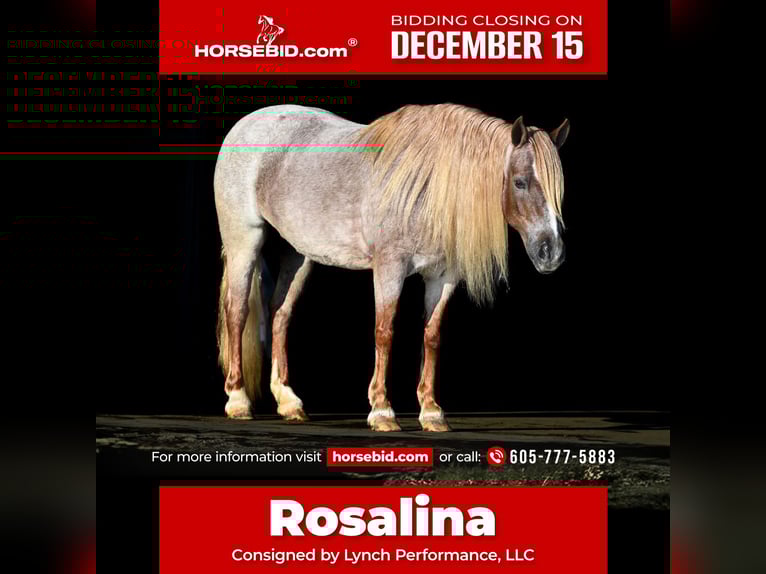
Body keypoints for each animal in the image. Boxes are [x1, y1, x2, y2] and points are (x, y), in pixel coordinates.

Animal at [215, 104, 569, 432]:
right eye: (520, 182)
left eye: (558, 190)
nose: (550, 253)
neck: (429, 186)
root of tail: (245, 124)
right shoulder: (390, 267)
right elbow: (384, 332)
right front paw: (382, 411)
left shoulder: (443, 276)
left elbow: (432, 335)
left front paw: (431, 412)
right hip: (244, 238)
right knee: (237, 311)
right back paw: (238, 400)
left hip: (298, 255)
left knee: (280, 313)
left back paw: (289, 402)